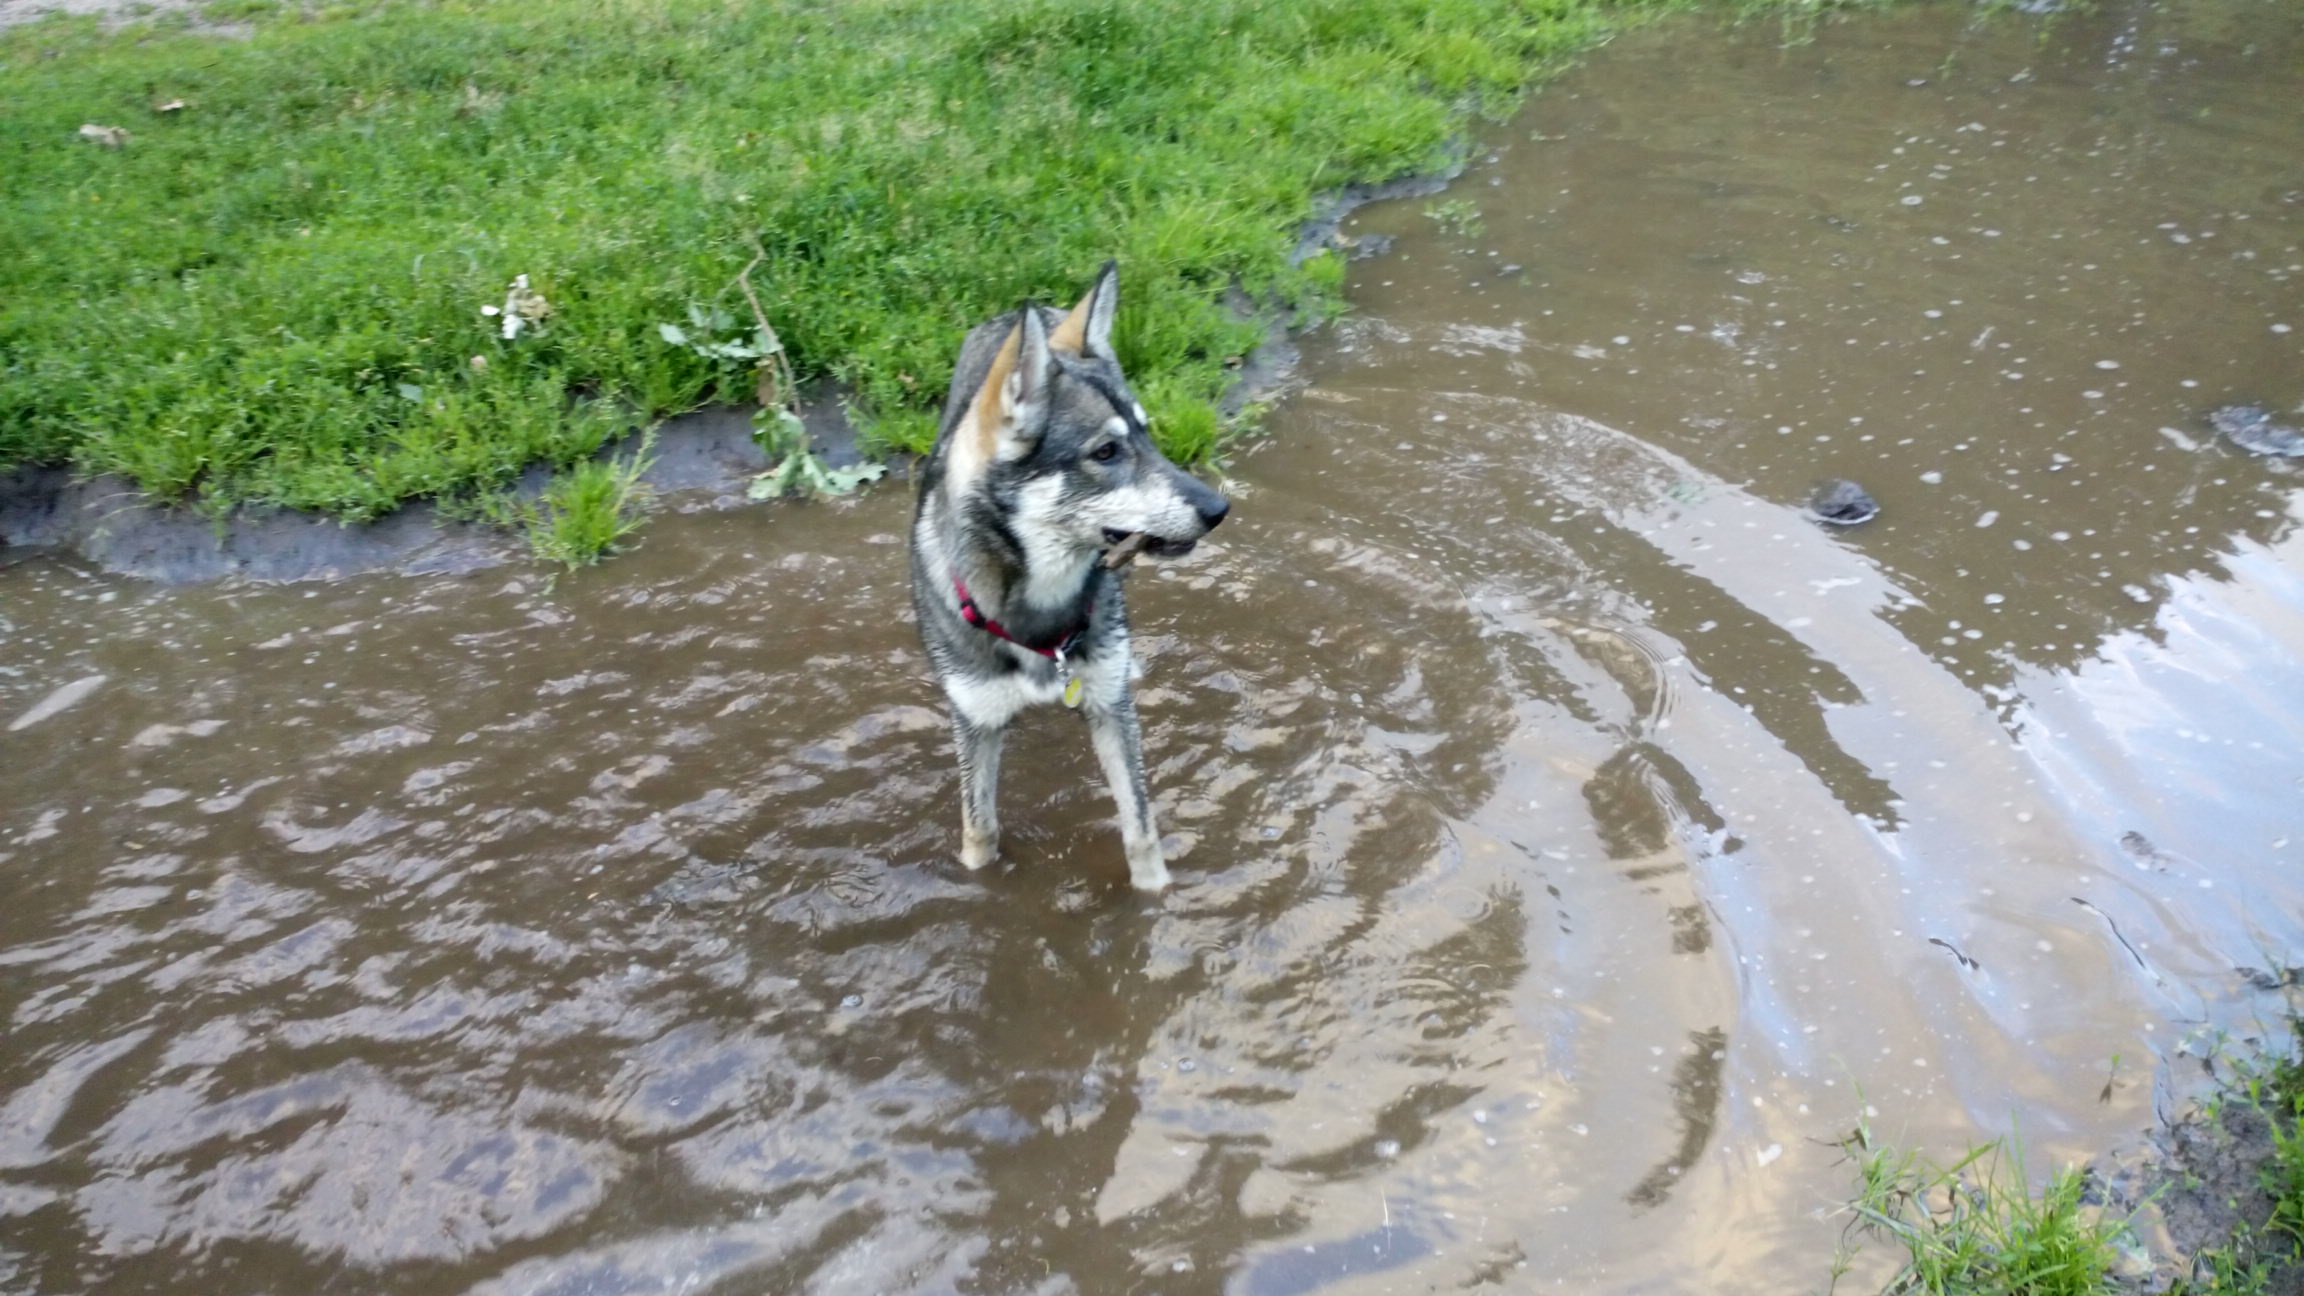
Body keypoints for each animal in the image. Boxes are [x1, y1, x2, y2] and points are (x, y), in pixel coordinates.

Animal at [912, 262, 1234, 885]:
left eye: (1147, 435)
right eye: (1106, 451)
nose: (1218, 508)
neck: (1037, 616)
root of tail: (1026, 312)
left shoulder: (1110, 709)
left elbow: (1141, 831)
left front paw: (1157, 897)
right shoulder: (976, 723)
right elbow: (979, 833)